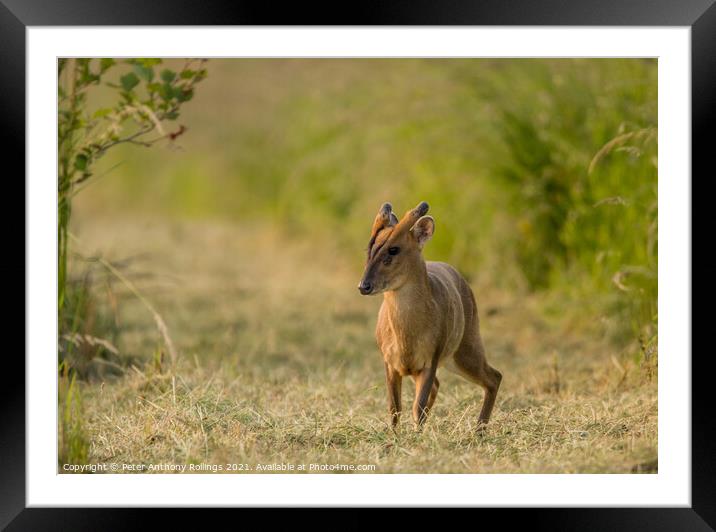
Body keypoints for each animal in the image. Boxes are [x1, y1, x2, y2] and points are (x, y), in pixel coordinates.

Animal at [358, 202, 504, 430]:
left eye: (393, 249)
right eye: (369, 248)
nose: (364, 286)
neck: (407, 338)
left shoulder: (431, 358)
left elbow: (417, 407)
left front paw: (417, 435)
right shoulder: (389, 361)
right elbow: (395, 408)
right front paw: (394, 434)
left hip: (466, 345)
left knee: (494, 377)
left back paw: (479, 430)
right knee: (442, 385)